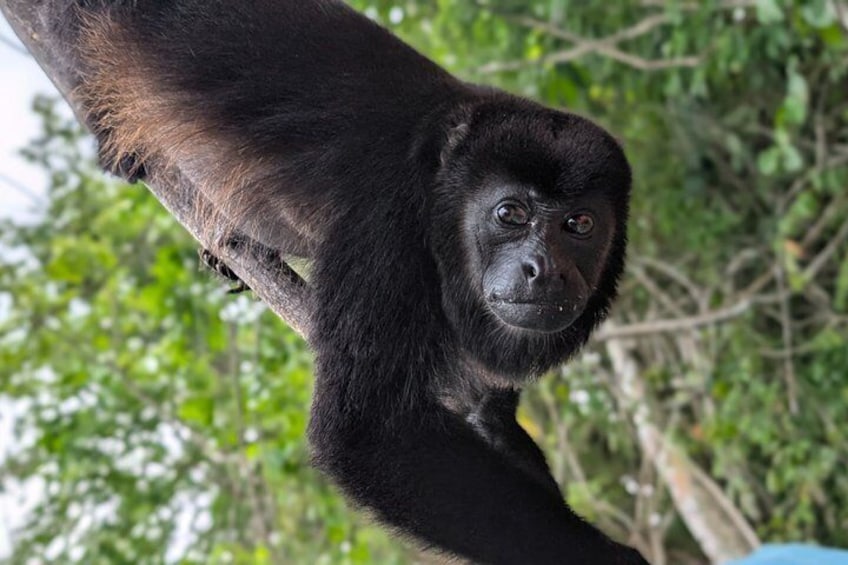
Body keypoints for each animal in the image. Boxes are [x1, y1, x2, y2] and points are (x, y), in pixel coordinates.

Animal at [57, 1, 643, 562]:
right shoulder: (387, 218)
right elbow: (369, 432)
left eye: (580, 225)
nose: (545, 269)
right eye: (510, 213)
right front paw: (613, 556)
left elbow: (486, 413)